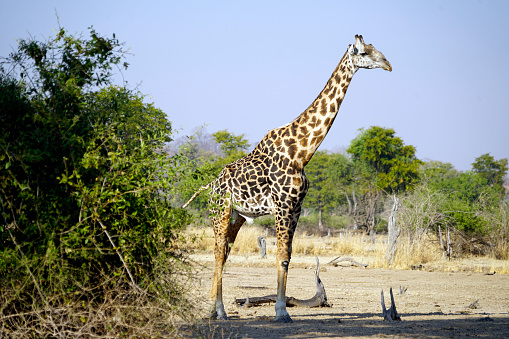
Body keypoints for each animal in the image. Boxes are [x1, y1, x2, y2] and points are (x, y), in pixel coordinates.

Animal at [184, 35, 392, 324]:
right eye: (363, 52)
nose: (388, 64)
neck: (302, 152)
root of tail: (209, 187)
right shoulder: (283, 205)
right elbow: (281, 256)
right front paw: (281, 311)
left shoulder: (296, 207)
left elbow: (289, 256)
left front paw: (282, 310)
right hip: (220, 212)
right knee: (217, 252)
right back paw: (219, 311)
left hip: (237, 216)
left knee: (223, 253)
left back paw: (214, 310)